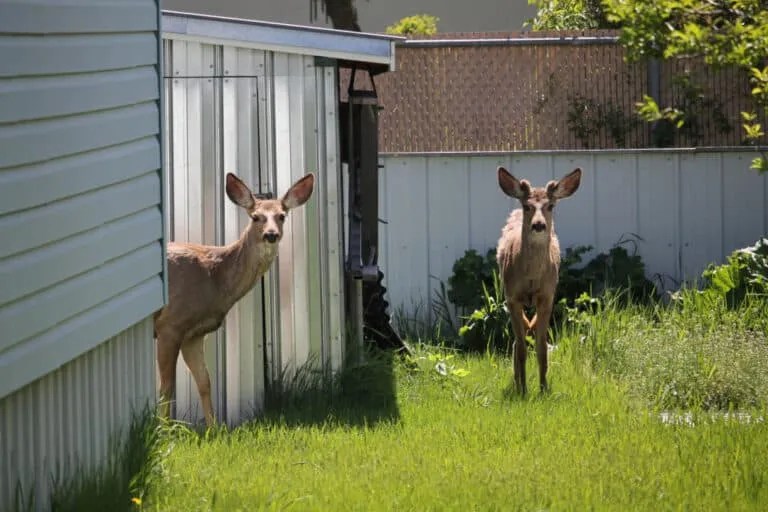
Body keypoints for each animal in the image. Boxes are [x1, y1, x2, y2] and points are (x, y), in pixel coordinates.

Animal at [153, 172, 315, 426]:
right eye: (256, 217)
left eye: (281, 215)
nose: (271, 235)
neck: (214, 278)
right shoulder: (170, 324)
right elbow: (166, 387)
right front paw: (164, 430)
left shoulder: (193, 334)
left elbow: (205, 382)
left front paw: (214, 429)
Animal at [495, 166, 581, 395]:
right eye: (527, 206)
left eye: (550, 205)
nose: (539, 225)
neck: (532, 278)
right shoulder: (512, 297)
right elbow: (522, 348)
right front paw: (524, 390)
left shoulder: (547, 296)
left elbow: (542, 346)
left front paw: (543, 388)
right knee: (517, 342)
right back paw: (517, 382)